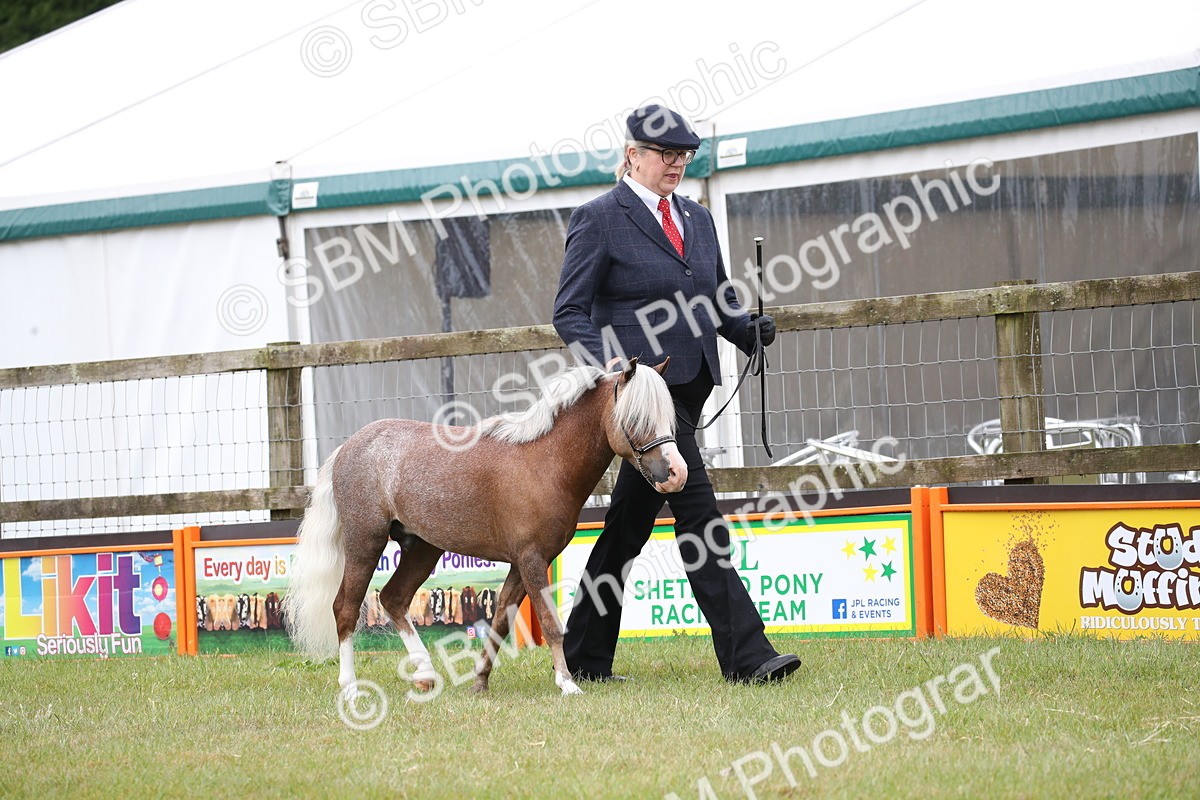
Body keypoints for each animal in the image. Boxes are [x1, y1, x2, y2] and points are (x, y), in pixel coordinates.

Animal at [283, 357, 687, 698]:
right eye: (637, 418)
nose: (677, 474)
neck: (544, 462)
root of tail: (349, 447)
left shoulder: (521, 564)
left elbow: (501, 621)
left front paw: (480, 681)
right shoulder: (531, 559)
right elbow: (550, 623)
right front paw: (567, 683)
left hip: (423, 548)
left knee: (393, 598)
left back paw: (426, 675)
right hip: (365, 542)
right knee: (346, 608)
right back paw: (351, 688)